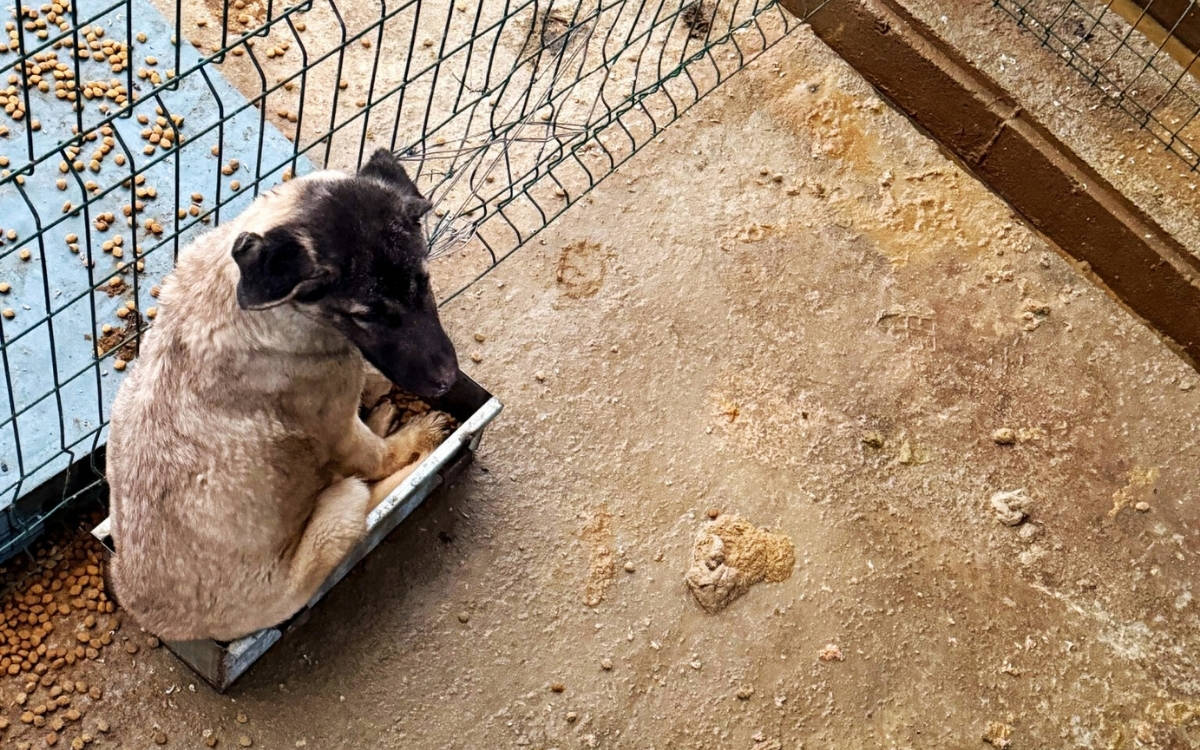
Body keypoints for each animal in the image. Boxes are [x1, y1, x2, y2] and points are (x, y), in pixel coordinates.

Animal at [105, 150, 458, 638]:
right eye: (366, 315)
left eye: (423, 282)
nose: (448, 380)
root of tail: (162, 624)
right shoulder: (338, 430)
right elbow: (378, 455)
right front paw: (413, 436)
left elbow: (373, 381)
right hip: (338, 512)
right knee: (363, 489)